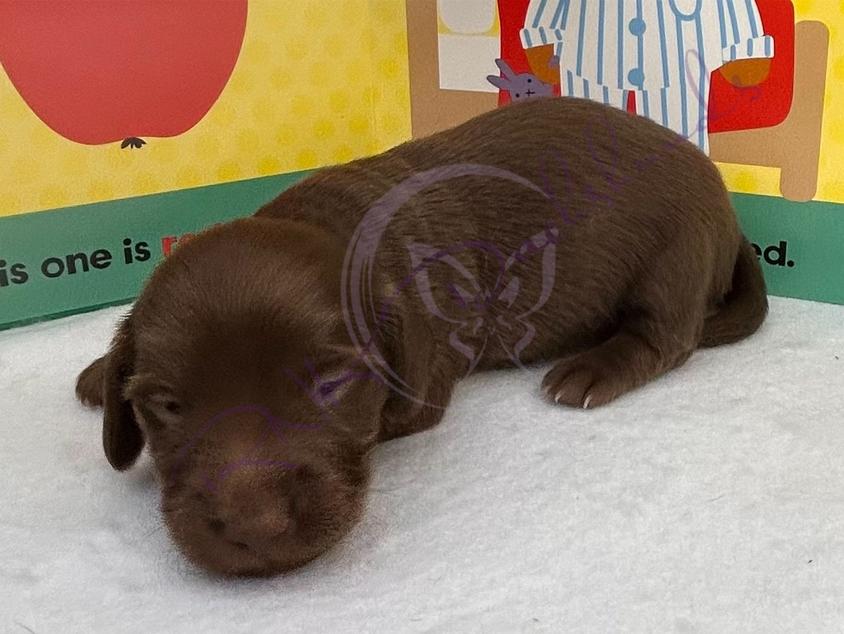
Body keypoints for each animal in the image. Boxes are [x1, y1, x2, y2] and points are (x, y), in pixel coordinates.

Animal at [76, 96, 768, 576]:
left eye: (332, 384)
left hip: (675, 253)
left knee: (667, 337)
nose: (257, 527)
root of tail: (727, 208)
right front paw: (99, 371)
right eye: (167, 406)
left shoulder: (422, 383)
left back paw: (590, 370)